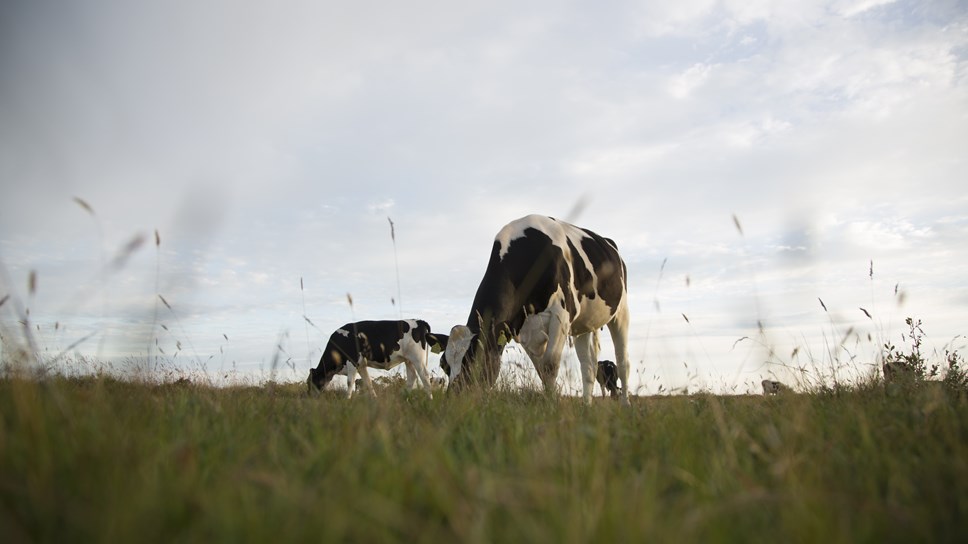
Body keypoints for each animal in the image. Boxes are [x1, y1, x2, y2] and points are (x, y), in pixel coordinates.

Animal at [306, 318, 434, 400]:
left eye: (310, 382)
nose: (308, 396)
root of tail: (419, 321)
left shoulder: (352, 361)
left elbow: (350, 382)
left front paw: (347, 400)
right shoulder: (361, 366)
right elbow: (368, 382)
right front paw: (374, 399)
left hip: (418, 358)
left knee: (424, 376)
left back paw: (430, 399)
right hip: (409, 360)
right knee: (412, 376)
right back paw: (405, 397)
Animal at [442, 215, 632, 406]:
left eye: (474, 360)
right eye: (444, 365)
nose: (454, 400)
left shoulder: (561, 315)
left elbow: (549, 365)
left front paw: (552, 404)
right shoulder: (525, 331)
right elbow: (541, 370)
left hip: (621, 312)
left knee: (623, 361)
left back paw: (625, 404)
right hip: (584, 324)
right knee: (589, 366)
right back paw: (586, 405)